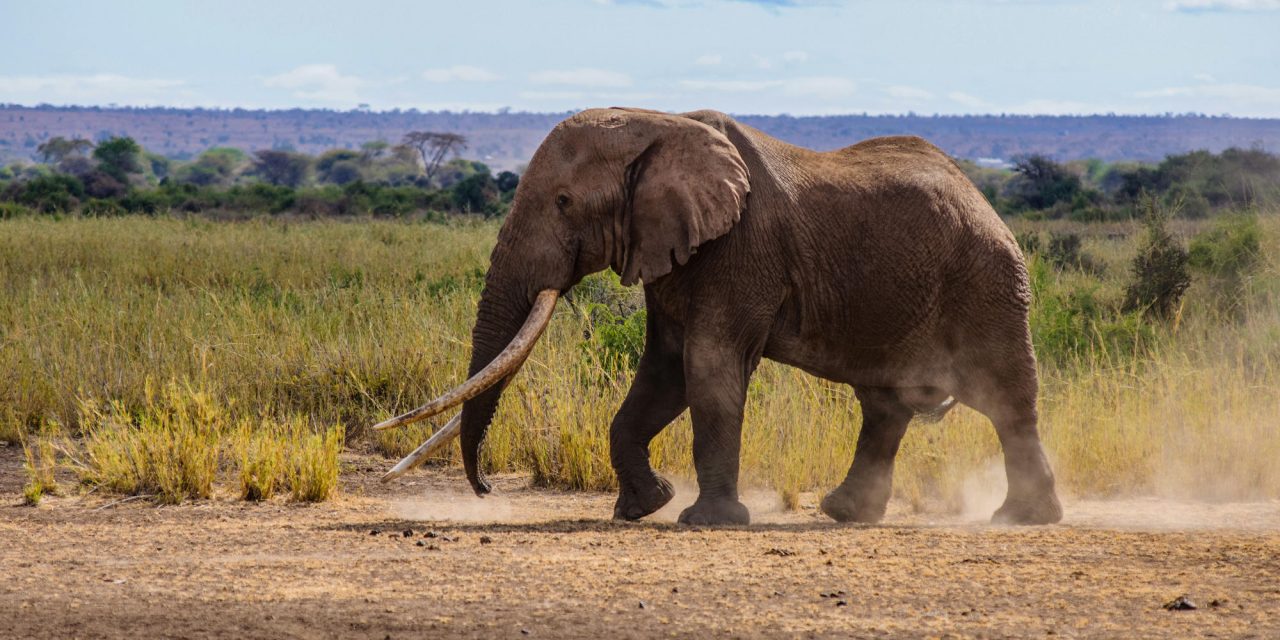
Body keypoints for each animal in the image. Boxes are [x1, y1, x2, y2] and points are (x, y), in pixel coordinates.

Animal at [373, 106, 1064, 524]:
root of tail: (984, 199)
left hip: (989, 285)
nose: (486, 490)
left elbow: (708, 368)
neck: (655, 123)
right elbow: (664, 373)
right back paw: (845, 514)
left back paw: (1021, 519)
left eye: (564, 202)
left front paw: (704, 521)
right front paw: (643, 508)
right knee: (885, 405)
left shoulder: (740, 249)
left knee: (1006, 399)